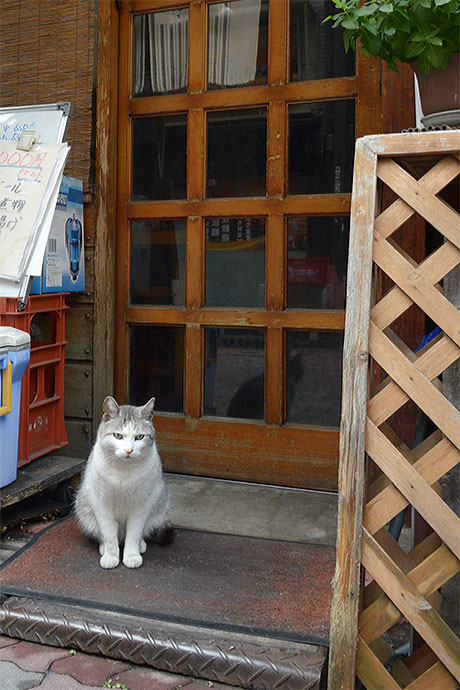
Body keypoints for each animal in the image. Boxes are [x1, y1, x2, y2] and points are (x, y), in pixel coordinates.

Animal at [75, 396, 172, 568]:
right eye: (118, 436)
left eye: (139, 437)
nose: (128, 450)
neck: (123, 472)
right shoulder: (103, 505)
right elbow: (109, 535)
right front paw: (111, 557)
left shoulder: (140, 506)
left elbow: (133, 534)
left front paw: (132, 556)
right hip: (84, 507)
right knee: (103, 535)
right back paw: (103, 548)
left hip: (160, 505)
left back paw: (140, 546)